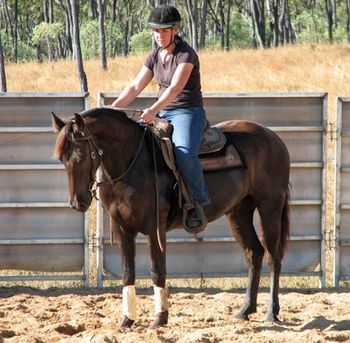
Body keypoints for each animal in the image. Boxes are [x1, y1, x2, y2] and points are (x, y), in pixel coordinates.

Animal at [51, 107, 290, 330]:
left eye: (81, 156)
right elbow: (128, 273)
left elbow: (158, 271)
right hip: (239, 211)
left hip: (270, 206)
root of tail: (273, 137)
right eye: (62, 158)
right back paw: (245, 310)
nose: (78, 203)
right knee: (254, 253)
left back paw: (271, 312)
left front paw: (159, 319)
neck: (133, 161)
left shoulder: (154, 228)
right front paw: (127, 320)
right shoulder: (122, 229)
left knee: (273, 257)